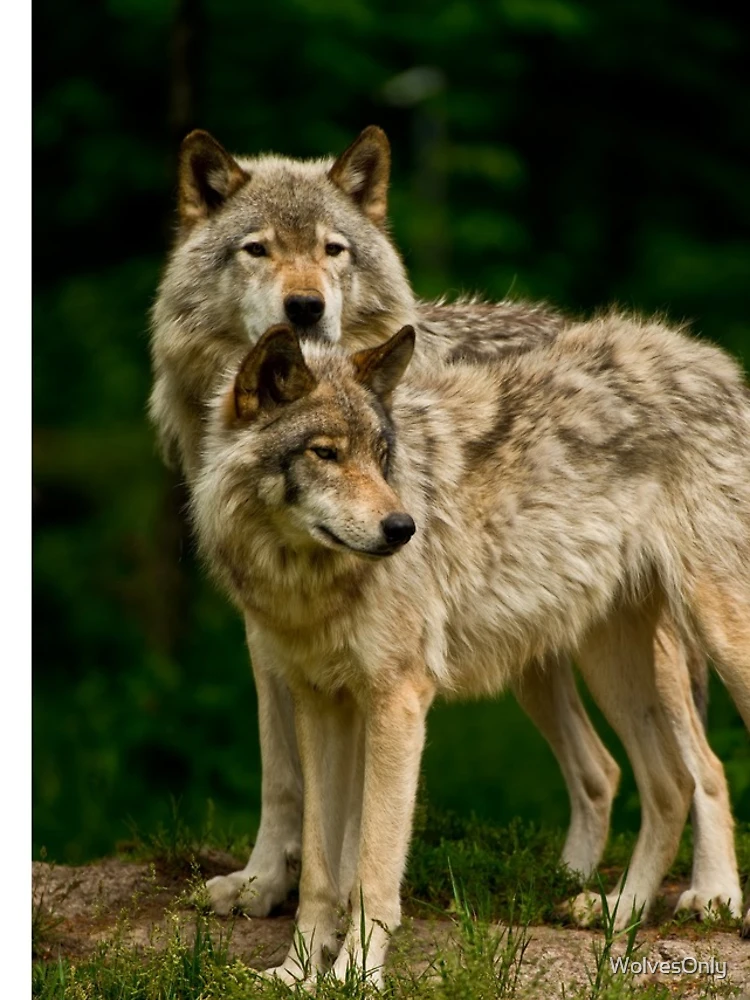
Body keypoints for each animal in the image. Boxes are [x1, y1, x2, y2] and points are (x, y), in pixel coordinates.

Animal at [149, 126, 741, 925]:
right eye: (257, 249)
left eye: (334, 249)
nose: (303, 309)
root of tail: (710, 361)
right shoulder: (276, 641)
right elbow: (285, 778)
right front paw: (265, 883)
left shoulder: (382, 679)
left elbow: (360, 821)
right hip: (553, 650)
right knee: (606, 771)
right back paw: (580, 887)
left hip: (679, 633)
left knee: (702, 764)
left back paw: (713, 891)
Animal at [192, 319, 750, 984]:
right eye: (325, 453)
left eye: (381, 455)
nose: (403, 528)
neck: (308, 580)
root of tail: (713, 360)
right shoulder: (321, 702)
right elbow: (322, 875)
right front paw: (297, 976)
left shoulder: (398, 701)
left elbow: (373, 870)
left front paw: (354, 977)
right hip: (604, 665)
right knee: (669, 783)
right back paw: (621, 914)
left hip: (712, 643)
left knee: (695, 771)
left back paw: (708, 899)